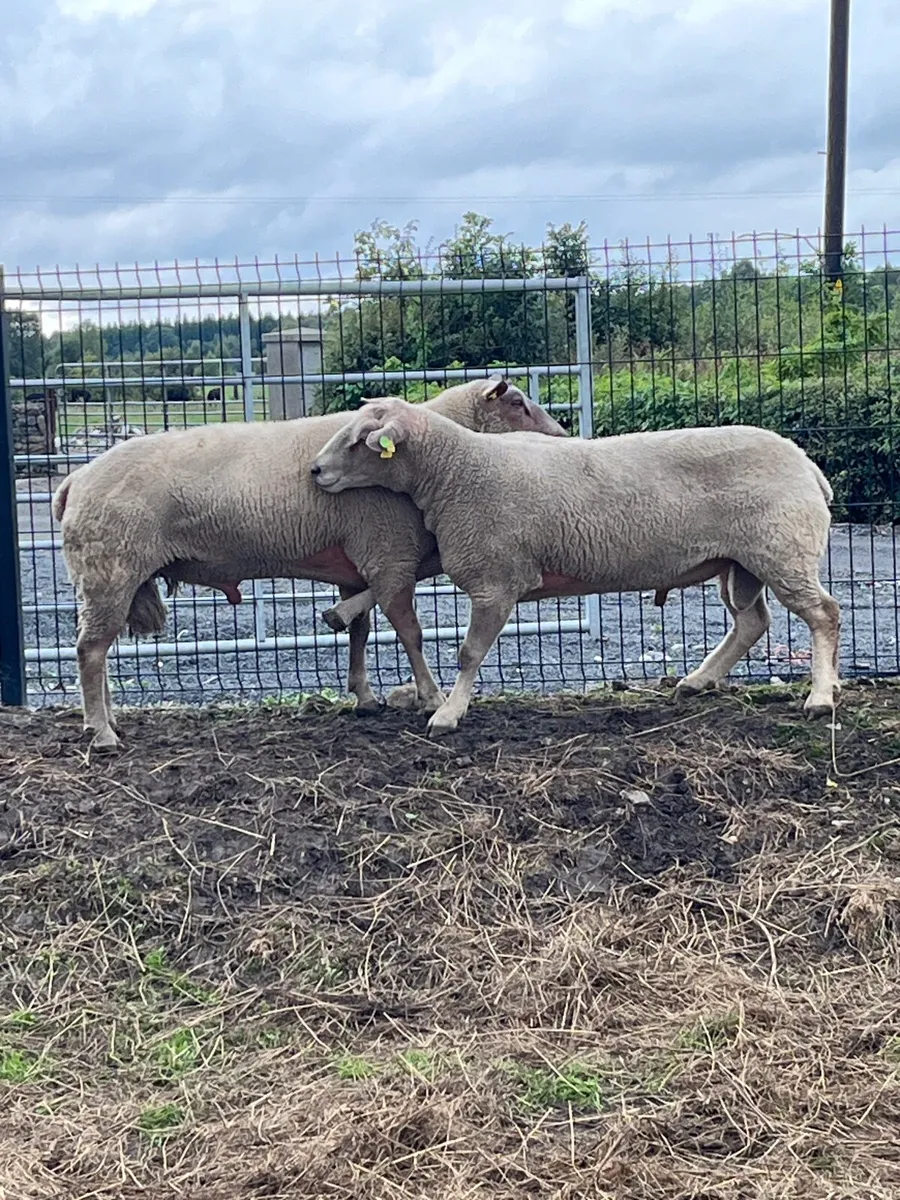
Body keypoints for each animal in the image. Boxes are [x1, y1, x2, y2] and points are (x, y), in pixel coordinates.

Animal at [52, 378, 565, 751]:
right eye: (517, 404)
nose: (564, 438)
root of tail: (76, 479)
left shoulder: (359, 563)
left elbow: (360, 629)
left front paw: (364, 695)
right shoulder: (387, 551)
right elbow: (410, 633)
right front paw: (431, 697)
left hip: (111, 574)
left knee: (99, 650)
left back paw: (105, 720)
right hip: (109, 569)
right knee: (89, 651)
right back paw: (102, 733)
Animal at [310, 399, 841, 737]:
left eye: (360, 440)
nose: (314, 470)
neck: (458, 472)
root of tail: (808, 466)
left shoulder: (496, 578)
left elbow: (468, 654)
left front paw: (449, 714)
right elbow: (399, 581)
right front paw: (340, 614)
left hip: (782, 548)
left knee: (824, 615)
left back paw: (821, 697)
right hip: (741, 560)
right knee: (753, 622)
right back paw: (698, 680)